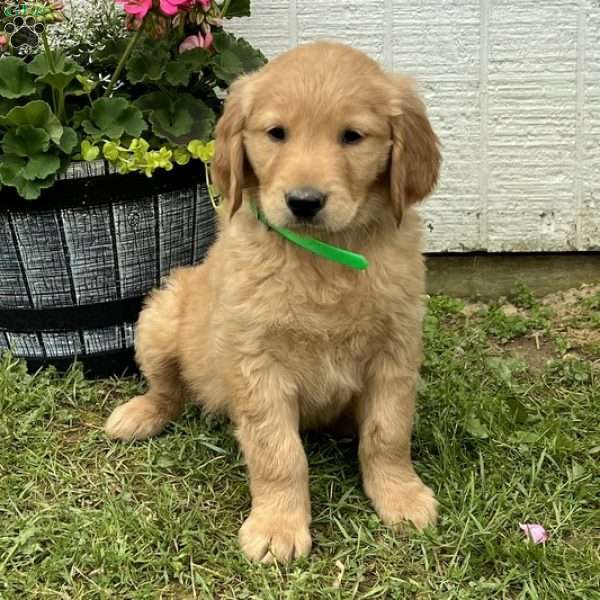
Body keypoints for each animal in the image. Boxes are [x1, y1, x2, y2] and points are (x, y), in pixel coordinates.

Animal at [104, 41, 440, 564]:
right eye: (276, 133)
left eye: (352, 136)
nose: (304, 201)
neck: (322, 257)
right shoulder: (257, 362)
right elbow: (278, 452)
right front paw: (278, 526)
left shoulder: (395, 350)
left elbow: (387, 432)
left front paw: (400, 496)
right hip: (160, 316)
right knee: (169, 388)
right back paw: (140, 414)